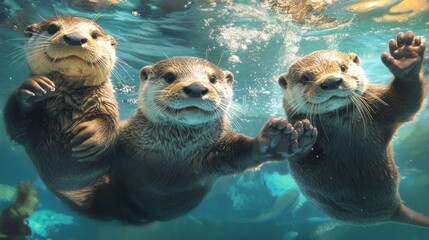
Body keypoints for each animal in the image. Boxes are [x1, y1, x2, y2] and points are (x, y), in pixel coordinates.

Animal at [4, 15, 119, 197]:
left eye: (94, 35)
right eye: (52, 28)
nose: (75, 38)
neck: (67, 109)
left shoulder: (107, 105)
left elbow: (111, 124)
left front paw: (92, 134)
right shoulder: (29, 135)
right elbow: (15, 127)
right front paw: (33, 86)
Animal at [276, 31, 426, 227]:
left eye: (343, 67)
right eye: (304, 78)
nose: (332, 81)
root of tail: (392, 212)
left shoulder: (381, 107)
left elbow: (406, 101)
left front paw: (406, 58)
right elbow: (304, 161)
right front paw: (300, 138)